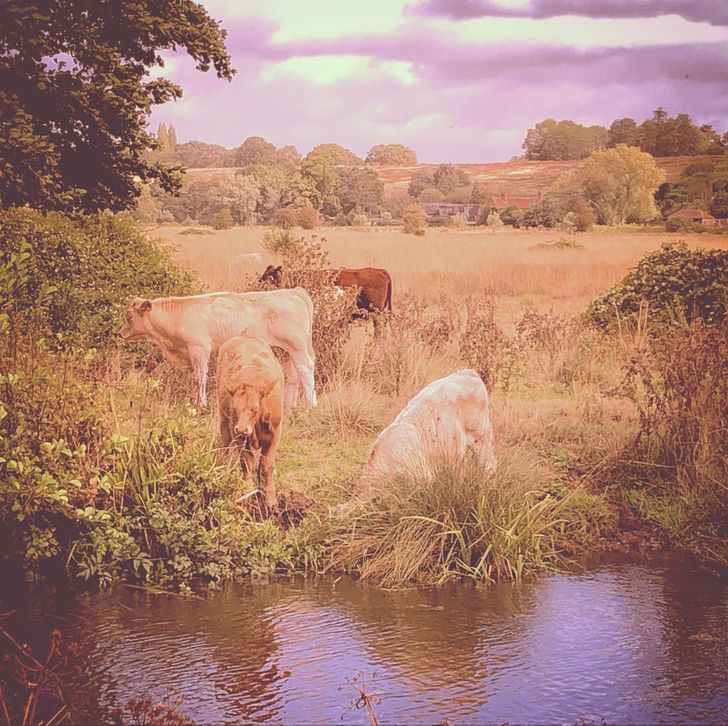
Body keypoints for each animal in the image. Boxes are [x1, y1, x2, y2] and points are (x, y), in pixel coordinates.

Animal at [119, 292, 316, 416]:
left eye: (129, 316)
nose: (120, 333)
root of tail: (294, 292)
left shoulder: (199, 349)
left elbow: (200, 379)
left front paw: (202, 405)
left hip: (297, 346)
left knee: (306, 370)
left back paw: (311, 406)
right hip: (286, 350)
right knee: (294, 375)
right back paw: (289, 409)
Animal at [218, 336, 282, 512]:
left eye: (254, 408)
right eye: (234, 407)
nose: (242, 428)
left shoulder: (275, 434)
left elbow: (267, 465)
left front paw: (270, 499)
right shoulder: (238, 435)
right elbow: (246, 463)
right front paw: (247, 495)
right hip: (225, 423)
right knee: (226, 450)